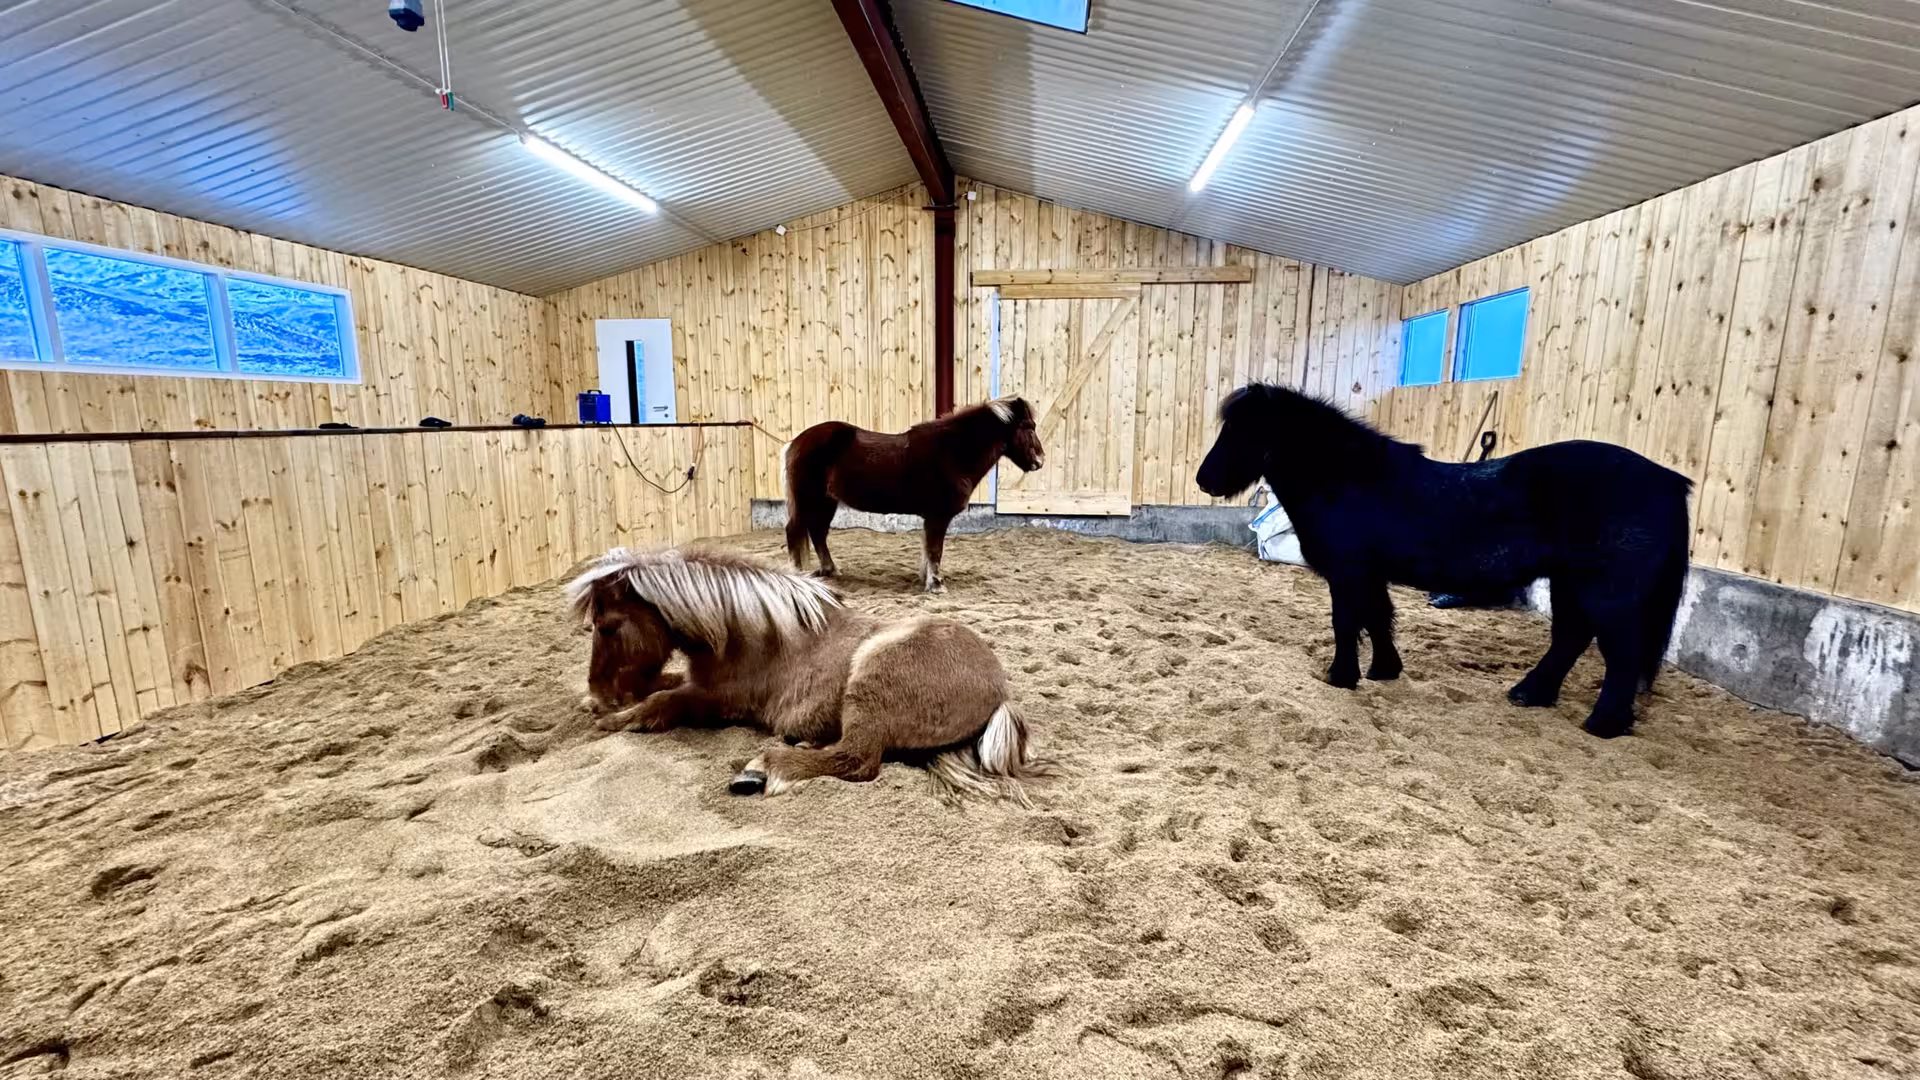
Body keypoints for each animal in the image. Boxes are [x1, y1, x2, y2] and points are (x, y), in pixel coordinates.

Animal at [566, 545, 1049, 801]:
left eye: (606, 626)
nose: (599, 695)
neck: (750, 632)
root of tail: (1000, 692)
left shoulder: (716, 699)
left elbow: (662, 702)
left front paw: (613, 719)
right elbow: (663, 688)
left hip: (870, 678)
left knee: (856, 759)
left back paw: (765, 767)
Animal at [783, 397, 1045, 593]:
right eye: (1028, 427)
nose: (1040, 461)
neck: (952, 452)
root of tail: (795, 443)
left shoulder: (931, 518)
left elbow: (928, 549)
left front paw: (927, 578)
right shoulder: (938, 516)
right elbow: (935, 550)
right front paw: (936, 585)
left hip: (826, 502)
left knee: (818, 533)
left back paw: (831, 570)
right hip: (810, 500)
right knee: (795, 532)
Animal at [1195, 383, 1691, 738]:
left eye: (1242, 431)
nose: (1204, 480)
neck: (1347, 479)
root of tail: (1669, 482)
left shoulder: (1348, 572)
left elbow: (1347, 622)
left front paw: (1341, 676)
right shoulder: (1369, 575)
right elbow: (1378, 618)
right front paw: (1384, 671)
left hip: (1606, 592)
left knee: (1620, 654)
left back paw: (1602, 725)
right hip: (1569, 583)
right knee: (1570, 638)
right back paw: (1530, 694)